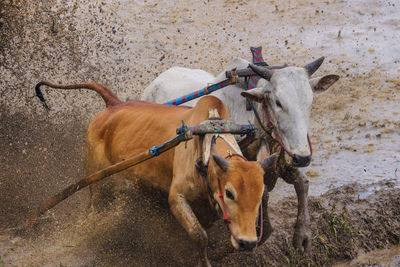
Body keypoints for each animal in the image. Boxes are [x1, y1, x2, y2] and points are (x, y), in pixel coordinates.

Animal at [34, 82, 278, 267]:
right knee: (92, 211)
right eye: (229, 193)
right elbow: (200, 236)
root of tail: (113, 104)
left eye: (260, 195)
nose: (247, 242)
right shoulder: (176, 198)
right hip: (99, 185)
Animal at [142, 56, 340, 253]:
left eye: (310, 101)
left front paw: (302, 234)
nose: (303, 158)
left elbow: (302, 184)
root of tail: (152, 86)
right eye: (278, 102)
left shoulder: (282, 159)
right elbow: (262, 194)